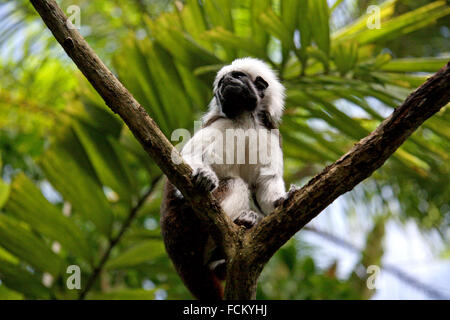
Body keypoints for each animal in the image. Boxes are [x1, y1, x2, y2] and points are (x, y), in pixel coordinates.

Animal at [162, 57, 286, 300]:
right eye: (221, 82)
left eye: (237, 76)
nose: (226, 83)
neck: (245, 120)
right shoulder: (219, 123)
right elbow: (186, 157)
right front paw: (205, 175)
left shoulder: (268, 133)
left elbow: (266, 182)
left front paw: (280, 201)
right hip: (188, 222)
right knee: (234, 184)